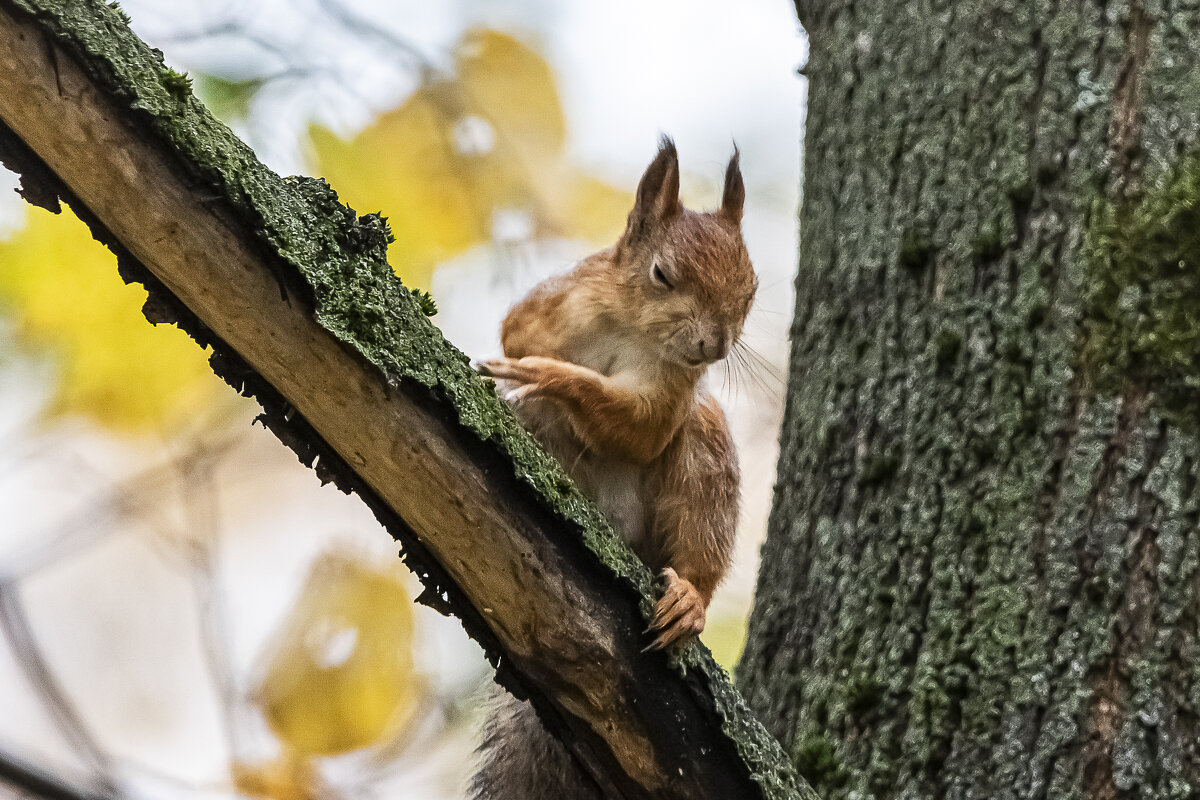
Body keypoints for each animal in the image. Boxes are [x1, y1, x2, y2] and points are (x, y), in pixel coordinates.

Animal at [470, 139, 758, 800]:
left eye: (752, 287)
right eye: (662, 274)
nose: (714, 345)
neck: (632, 329)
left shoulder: (671, 388)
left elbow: (641, 429)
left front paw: (556, 376)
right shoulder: (553, 303)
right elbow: (514, 336)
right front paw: (531, 371)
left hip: (700, 452)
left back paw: (688, 597)